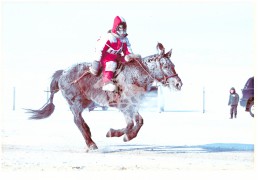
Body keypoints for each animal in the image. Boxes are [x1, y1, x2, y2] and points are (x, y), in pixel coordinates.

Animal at [26, 43, 182, 150]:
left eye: (173, 65)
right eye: (165, 66)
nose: (178, 83)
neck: (135, 75)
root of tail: (62, 73)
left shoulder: (132, 106)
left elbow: (139, 121)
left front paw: (127, 136)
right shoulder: (124, 106)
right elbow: (131, 124)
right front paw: (114, 133)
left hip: (86, 102)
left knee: (80, 121)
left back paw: (89, 137)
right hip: (75, 103)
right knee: (77, 120)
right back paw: (91, 143)